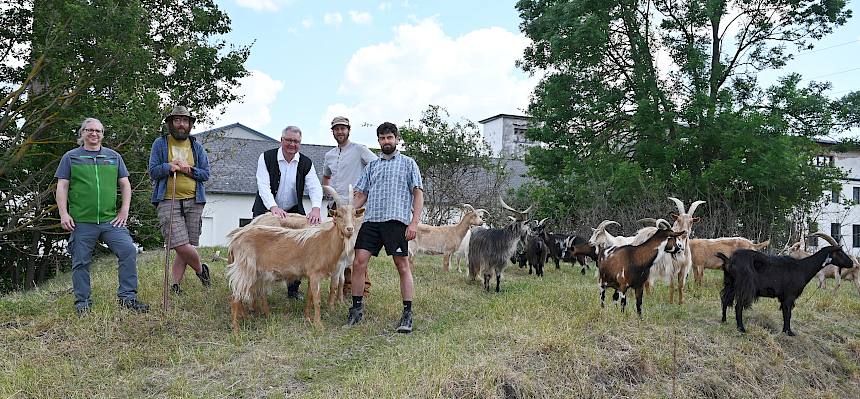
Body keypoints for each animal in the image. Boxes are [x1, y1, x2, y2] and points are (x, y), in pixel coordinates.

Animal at [225, 188, 362, 332]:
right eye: (339, 215)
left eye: (354, 215)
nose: (349, 229)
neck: (325, 240)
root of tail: (234, 241)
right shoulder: (316, 274)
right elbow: (317, 299)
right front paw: (319, 325)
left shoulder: (311, 275)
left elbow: (309, 297)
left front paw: (308, 317)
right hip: (245, 269)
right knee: (235, 297)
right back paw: (236, 328)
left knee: (243, 294)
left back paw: (248, 318)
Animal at [720, 233, 852, 336]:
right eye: (840, 252)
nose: (851, 263)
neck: (803, 268)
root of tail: (730, 260)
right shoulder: (790, 295)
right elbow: (788, 313)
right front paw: (790, 332)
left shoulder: (784, 297)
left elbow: (784, 312)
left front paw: (785, 331)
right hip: (744, 286)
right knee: (738, 306)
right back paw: (741, 329)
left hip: (730, 284)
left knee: (725, 299)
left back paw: (724, 321)